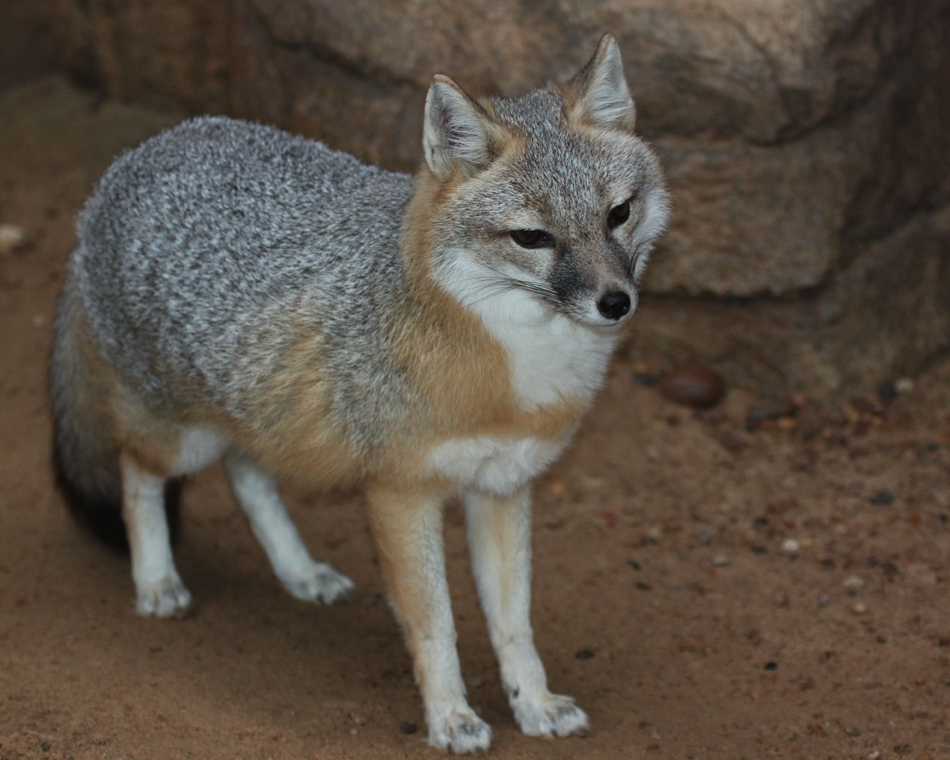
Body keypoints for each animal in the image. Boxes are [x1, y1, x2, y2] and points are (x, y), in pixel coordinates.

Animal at [52, 34, 668, 748]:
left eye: (618, 214)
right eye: (531, 238)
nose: (616, 303)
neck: (513, 369)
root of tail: (127, 163)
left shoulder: (503, 486)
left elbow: (514, 622)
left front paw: (533, 703)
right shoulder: (401, 494)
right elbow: (436, 625)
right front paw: (451, 717)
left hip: (261, 414)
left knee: (247, 476)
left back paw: (298, 570)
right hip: (182, 436)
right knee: (136, 473)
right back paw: (155, 579)